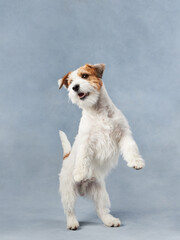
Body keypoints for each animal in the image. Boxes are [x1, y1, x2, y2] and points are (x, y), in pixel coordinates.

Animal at [57, 63, 145, 231]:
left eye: (84, 76)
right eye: (70, 82)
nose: (75, 87)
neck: (98, 111)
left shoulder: (123, 134)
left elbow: (131, 148)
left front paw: (136, 162)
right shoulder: (87, 141)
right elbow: (83, 157)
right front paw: (80, 173)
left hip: (100, 193)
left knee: (101, 209)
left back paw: (110, 220)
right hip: (68, 192)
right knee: (70, 210)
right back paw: (72, 223)